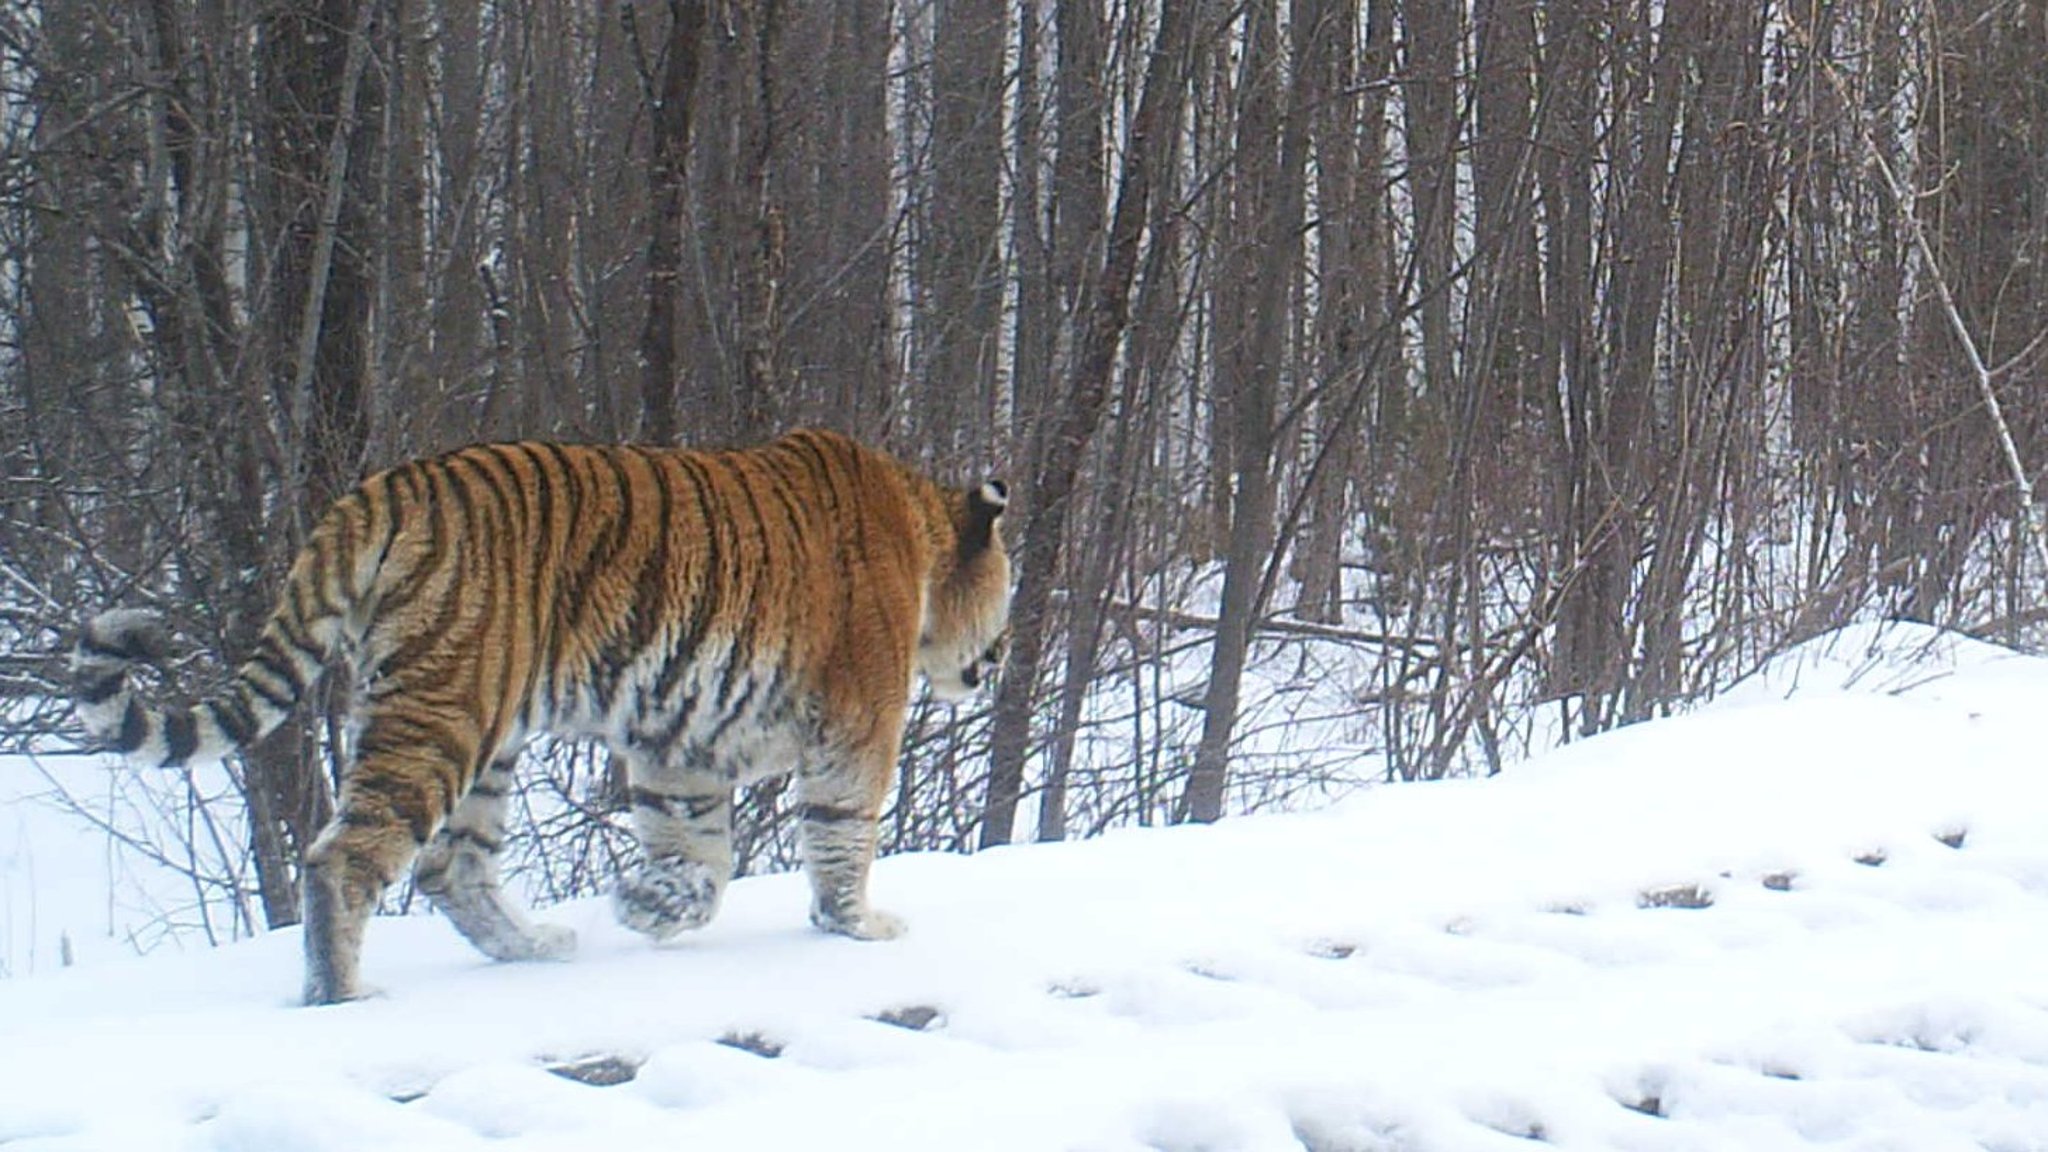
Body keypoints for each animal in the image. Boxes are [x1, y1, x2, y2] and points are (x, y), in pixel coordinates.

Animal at [68, 426, 1011, 1000]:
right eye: (1008, 591)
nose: (997, 661)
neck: (923, 534)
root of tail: (379, 490)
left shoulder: (681, 748)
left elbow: (701, 855)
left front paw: (649, 906)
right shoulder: (858, 722)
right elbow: (842, 833)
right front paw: (860, 927)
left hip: (487, 738)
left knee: (450, 869)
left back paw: (536, 948)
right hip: (442, 719)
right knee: (344, 861)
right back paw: (342, 996)